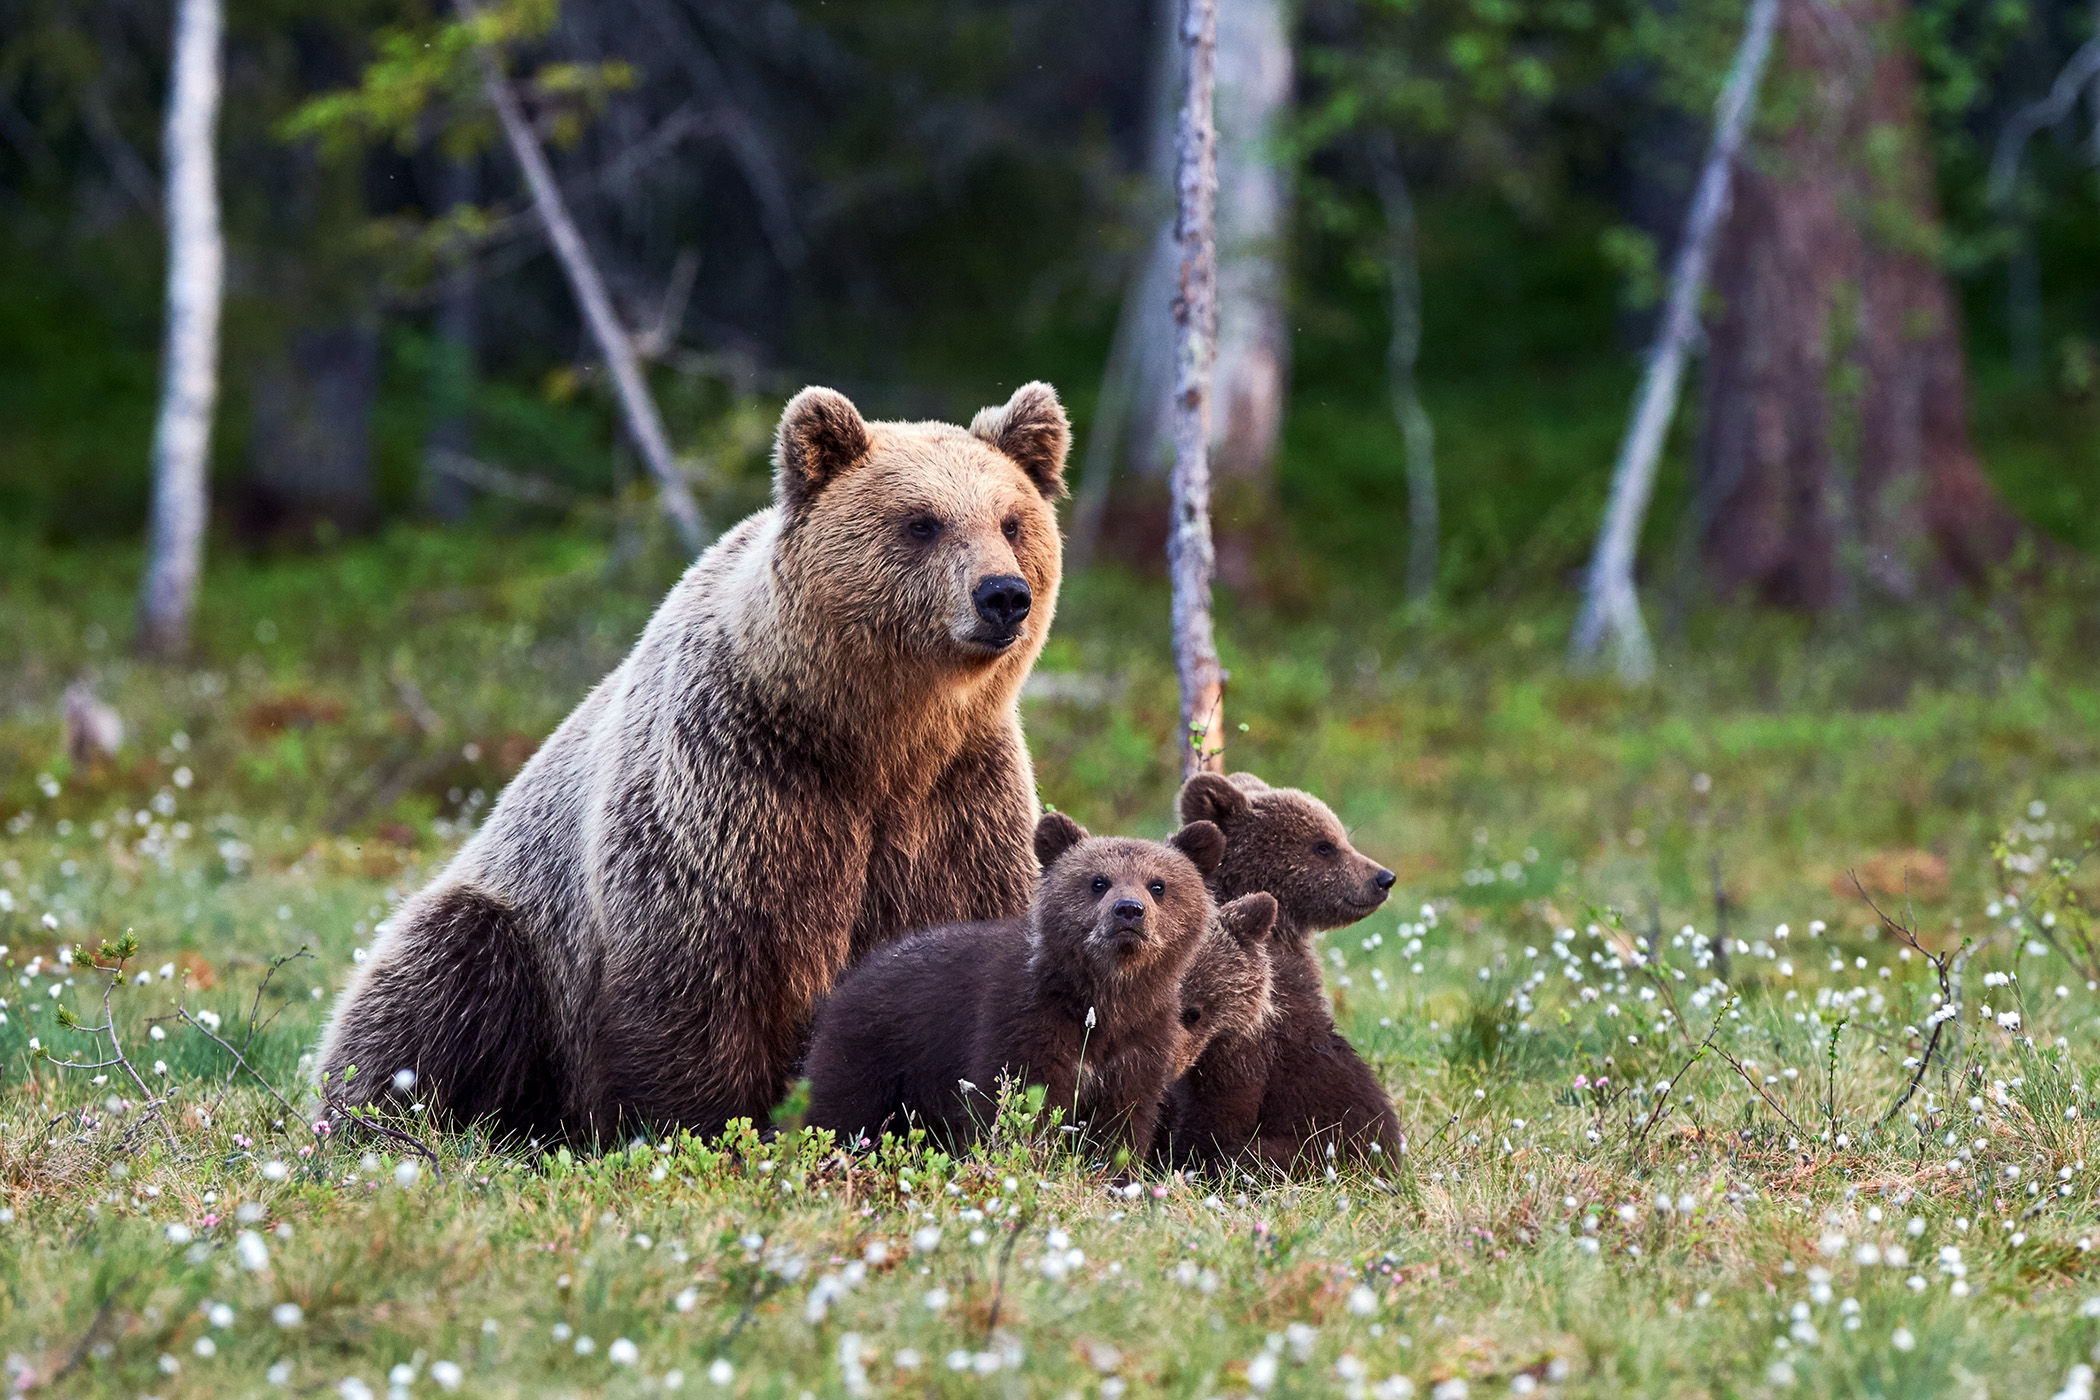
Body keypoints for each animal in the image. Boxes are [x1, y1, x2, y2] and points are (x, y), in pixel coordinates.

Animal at [316, 383, 1071, 1143]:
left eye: (1010, 521)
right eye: (921, 522)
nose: (1002, 595)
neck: (876, 739)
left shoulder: (958, 805)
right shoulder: (737, 787)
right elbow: (699, 976)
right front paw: (707, 1129)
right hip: (517, 934)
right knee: (438, 981)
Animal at [802, 812, 1260, 1162]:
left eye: (1158, 884)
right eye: (1098, 881)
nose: (1129, 911)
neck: (1105, 999)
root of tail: (854, 975)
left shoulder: (1138, 1044)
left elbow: (1121, 1124)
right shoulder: (1024, 1023)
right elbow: (1018, 1105)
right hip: (873, 1053)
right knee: (837, 1114)